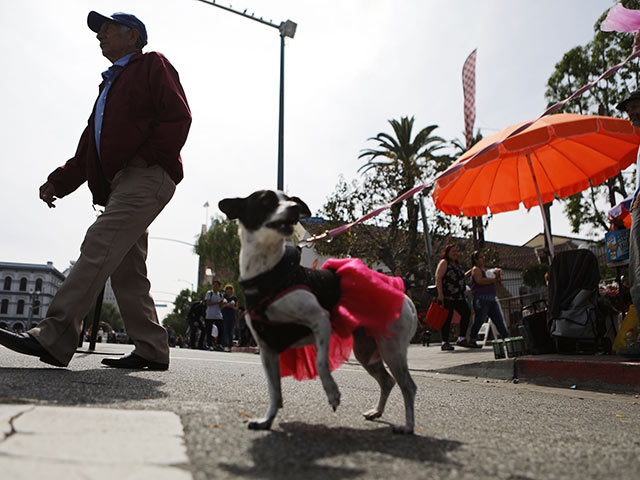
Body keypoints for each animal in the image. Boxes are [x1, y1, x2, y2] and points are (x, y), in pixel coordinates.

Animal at [219, 190, 420, 436]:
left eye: (289, 198)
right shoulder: (268, 350)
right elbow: (274, 392)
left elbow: (322, 363)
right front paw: (267, 420)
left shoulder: (320, 321)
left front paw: (332, 393)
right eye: (265, 200)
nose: (294, 208)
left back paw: (408, 426)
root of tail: (405, 297)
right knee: (387, 381)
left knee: (408, 386)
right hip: (366, 351)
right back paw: (377, 412)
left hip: (392, 349)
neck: (268, 274)